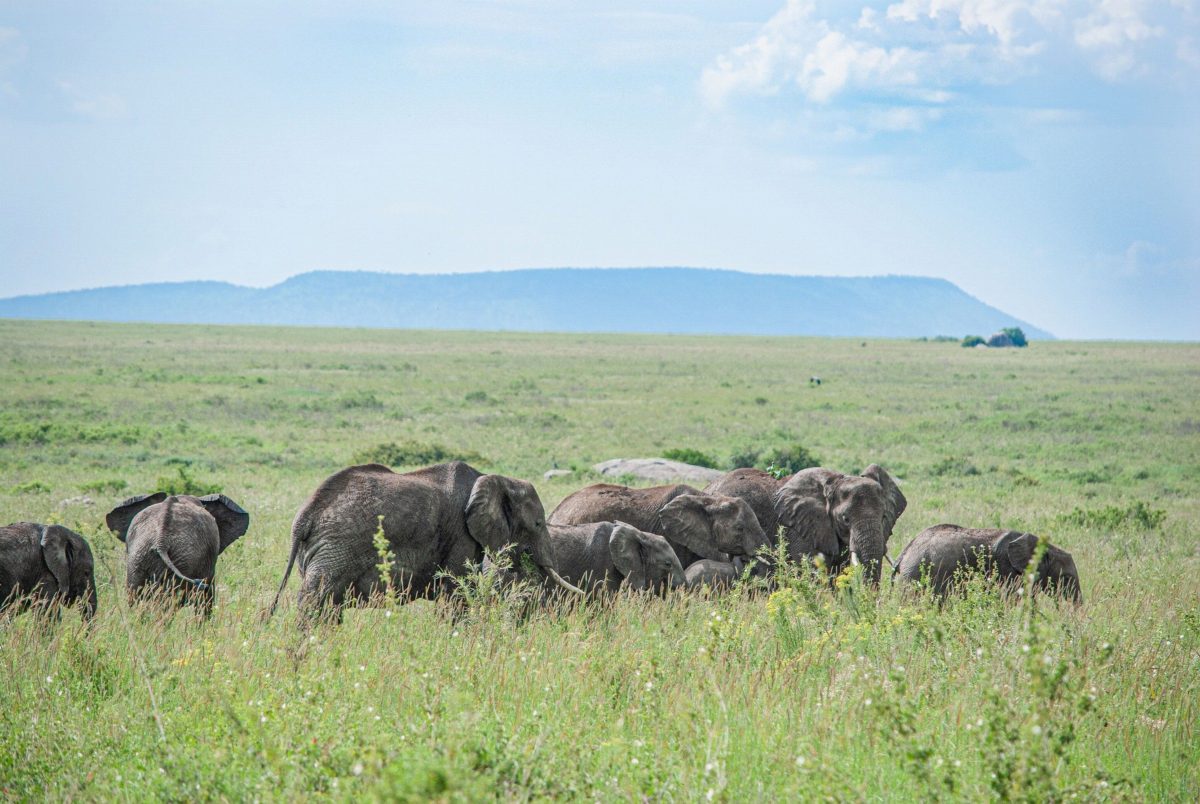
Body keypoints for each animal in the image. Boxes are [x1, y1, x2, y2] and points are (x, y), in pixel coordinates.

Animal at [270, 462, 582, 620]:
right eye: (538, 523)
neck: (495, 479)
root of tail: (304, 516)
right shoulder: (460, 535)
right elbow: (458, 592)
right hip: (337, 547)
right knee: (316, 598)